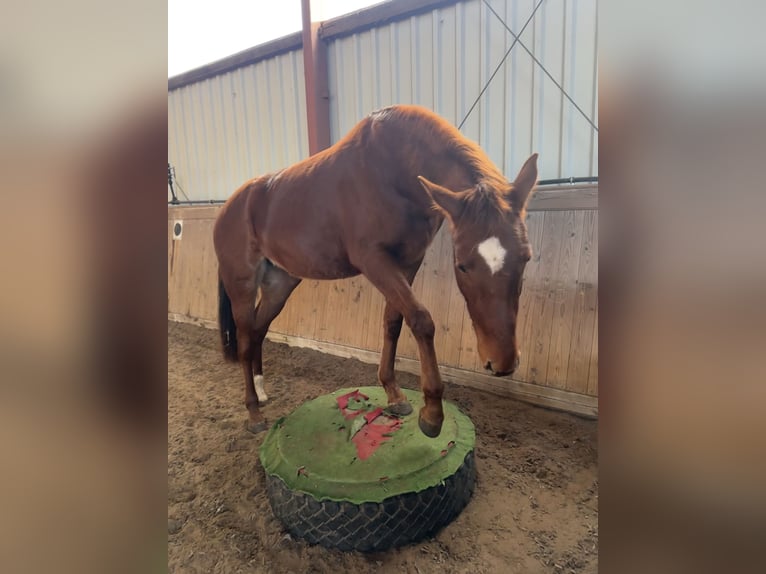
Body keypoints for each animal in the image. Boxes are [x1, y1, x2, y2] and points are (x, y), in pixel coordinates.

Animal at [213, 104, 537, 438]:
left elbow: (394, 321)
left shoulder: (408, 262)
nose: (502, 363)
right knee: (244, 339)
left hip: (279, 284)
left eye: (526, 257)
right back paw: (253, 411)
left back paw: (262, 391)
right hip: (242, 284)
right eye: (462, 265)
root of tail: (229, 207)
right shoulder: (374, 261)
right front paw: (432, 412)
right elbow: (420, 319)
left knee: (257, 330)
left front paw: (394, 394)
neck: (394, 171)